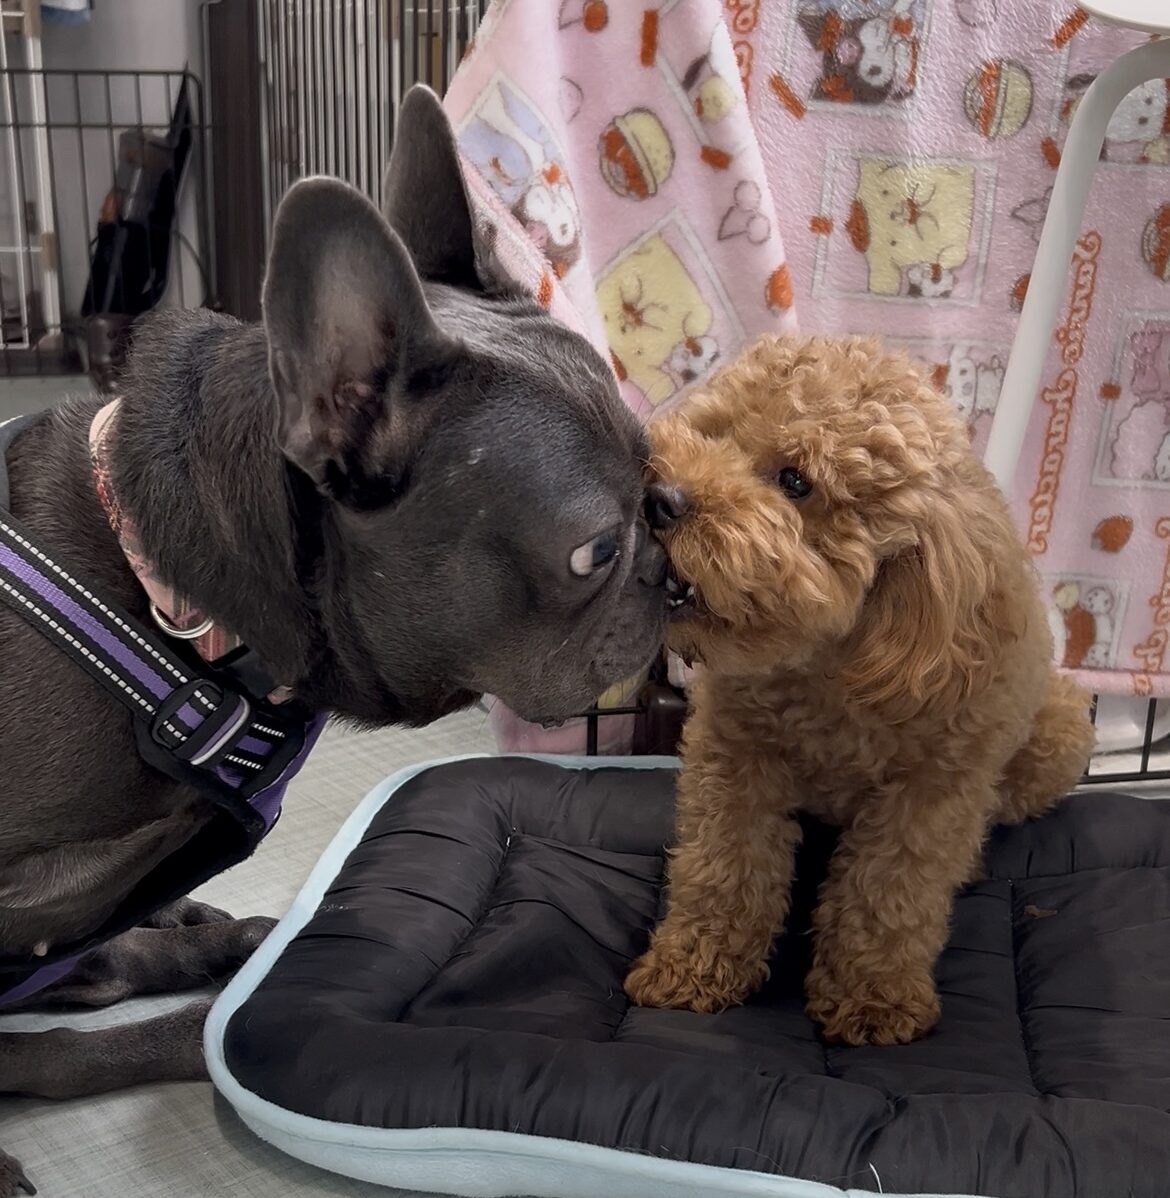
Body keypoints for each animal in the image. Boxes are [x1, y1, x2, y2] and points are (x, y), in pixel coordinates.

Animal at [625, 334, 1094, 1047]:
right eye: (712, 432)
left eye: (796, 482)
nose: (660, 498)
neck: (831, 669)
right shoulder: (735, 757)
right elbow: (722, 865)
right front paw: (693, 967)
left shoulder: (930, 792)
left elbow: (888, 894)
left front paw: (873, 999)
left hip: (1059, 735)